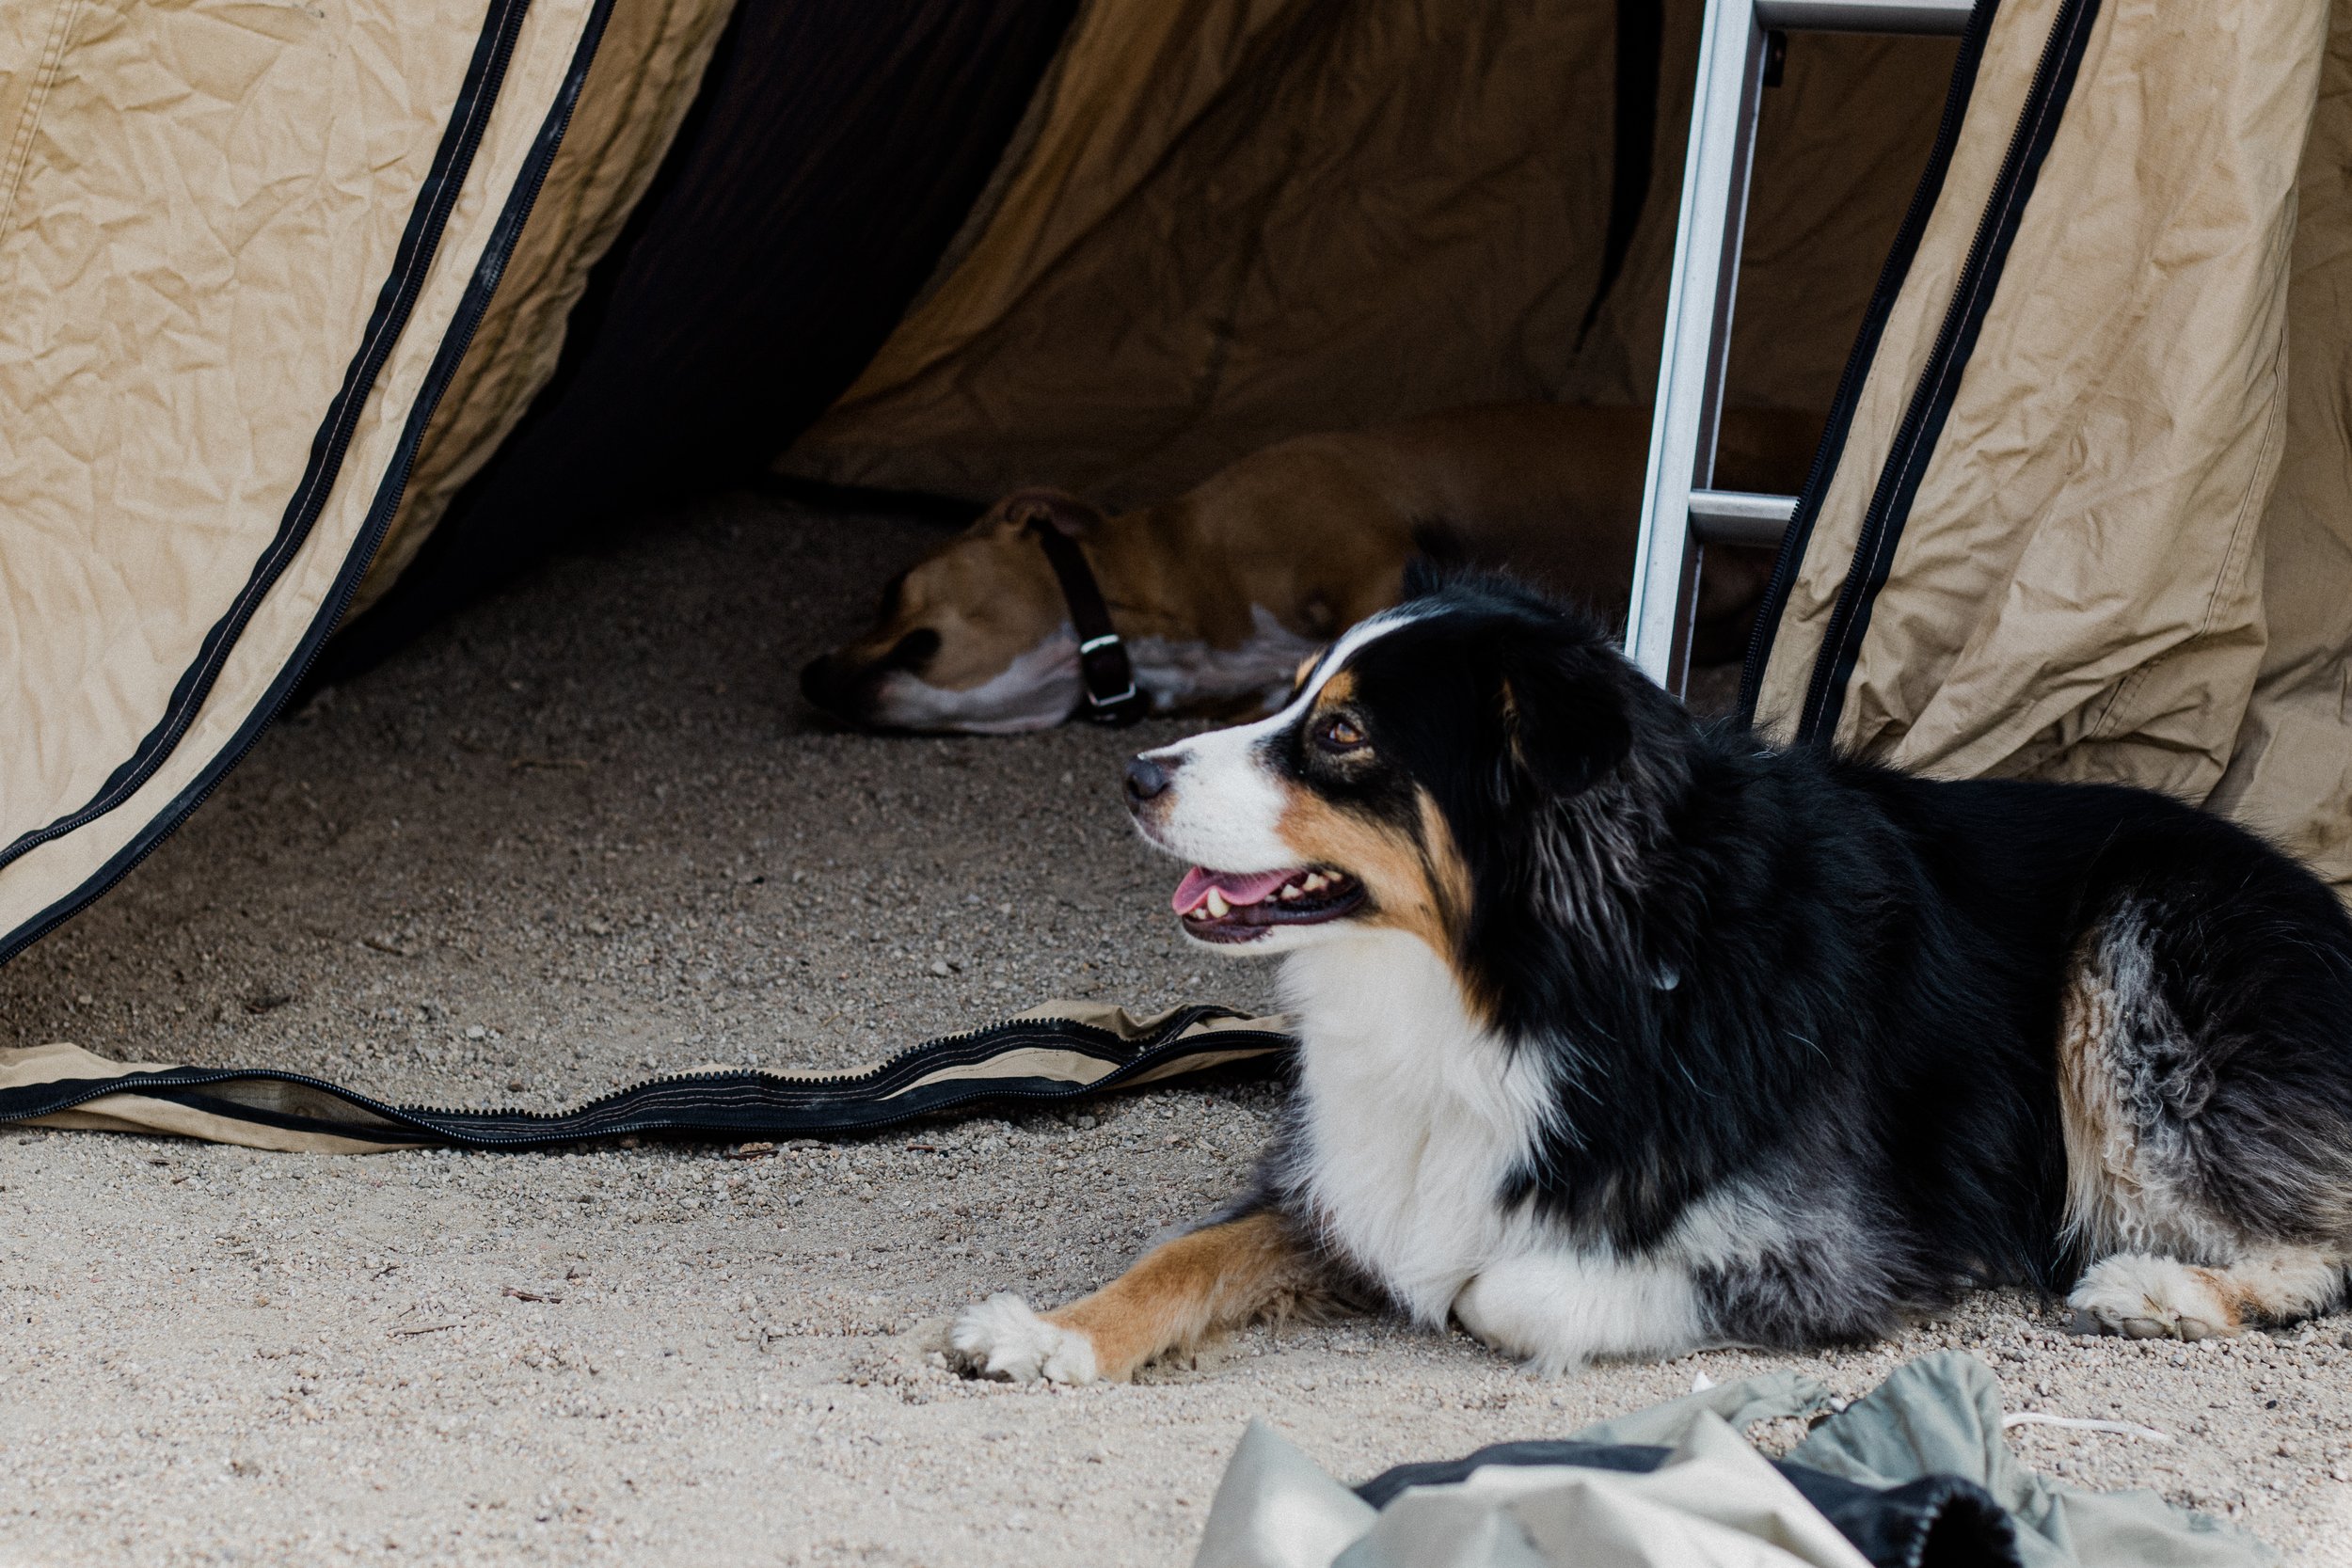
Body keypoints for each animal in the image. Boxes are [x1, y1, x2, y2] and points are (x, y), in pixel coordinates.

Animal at [946, 571, 2343, 1382]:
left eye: (1338, 733)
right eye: (1285, 696)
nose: (1135, 773)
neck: (1517, 984)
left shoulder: (1830, 1248)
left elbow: (1504, 1287)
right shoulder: (1357, 1172)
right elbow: (1189, 1251)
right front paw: (1052, 1331)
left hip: (2139, 951)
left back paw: (2162, 1286)